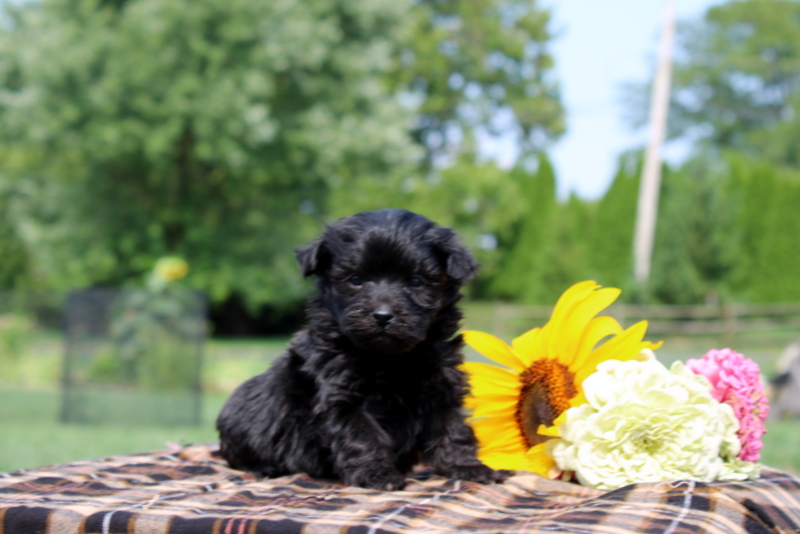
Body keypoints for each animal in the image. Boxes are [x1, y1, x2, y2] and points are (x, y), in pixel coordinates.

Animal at [217, 209, 506, 490]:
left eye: (416, 281)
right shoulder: (343, 398)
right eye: (355, 279)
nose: (383, 316)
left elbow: (452, 428)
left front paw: (468, 467)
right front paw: (377, 474)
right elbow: (362, 435)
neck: (391, 358)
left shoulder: (441, 387)